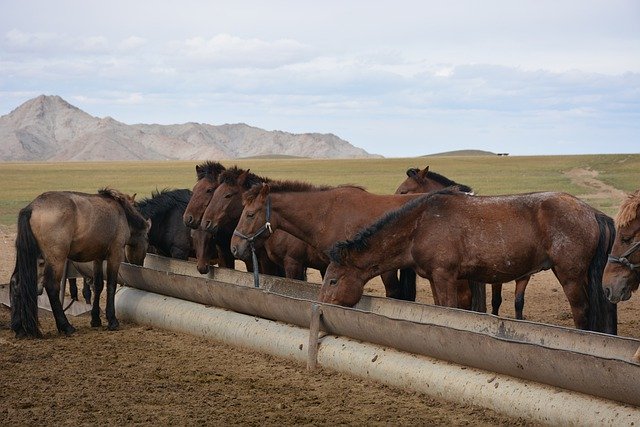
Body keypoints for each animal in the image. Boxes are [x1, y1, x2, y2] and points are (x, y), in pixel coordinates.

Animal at [10, 189, 149, 340]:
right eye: (147, 240)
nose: (139, 265)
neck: (122, 213)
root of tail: (32, 207)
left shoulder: (98, 258)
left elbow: (98, 286)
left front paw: (95, 319)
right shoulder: (115, 254)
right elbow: (111, 285)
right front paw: (112, 321)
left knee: (16, 283)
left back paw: (19, 328)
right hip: (56, 260)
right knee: (52, 287)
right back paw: (66, 326)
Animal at [322, 190, 616, 334]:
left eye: (333, 280)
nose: (321, 308)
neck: (420, 225)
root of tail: (593, 212)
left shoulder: (445, 276)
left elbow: (449, 308)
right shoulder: (435, 278)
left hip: (570, 276)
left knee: (582, 312)